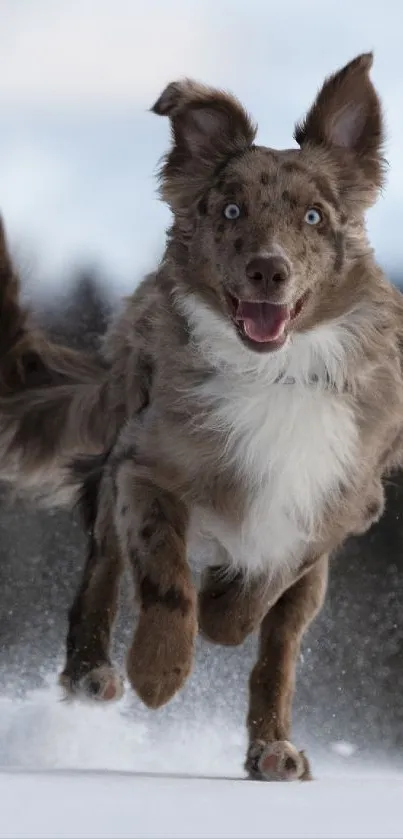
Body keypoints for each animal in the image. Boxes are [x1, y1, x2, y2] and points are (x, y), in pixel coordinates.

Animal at [0, 52, 403, 780]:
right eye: (231, 209)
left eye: (312, 216)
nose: (267, 270)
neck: (275, 370)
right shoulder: (144, 468)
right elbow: (164, 580)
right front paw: (158, 671)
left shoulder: (336, 504)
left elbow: (263, 590)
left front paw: (225, 609)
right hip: (112, 471)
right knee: (101, 574)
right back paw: (93, 673)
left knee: (278, 655)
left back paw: (273, 748)